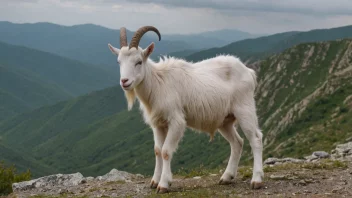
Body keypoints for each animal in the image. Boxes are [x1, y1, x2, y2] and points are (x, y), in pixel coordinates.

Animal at [107, 26, 264, 193]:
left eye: (139, 61)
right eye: (118, 61)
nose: (124, 81)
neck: (158, 83)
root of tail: (248, 72)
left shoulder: (176, 121)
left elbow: (166, 151)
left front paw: (164, 184)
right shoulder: (158, 124)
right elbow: (157, 150)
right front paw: (154, 181)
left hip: (244, 109)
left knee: (255, 139)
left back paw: (257, 180)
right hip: (224, 120)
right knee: (237, 143)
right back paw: (227, 177)